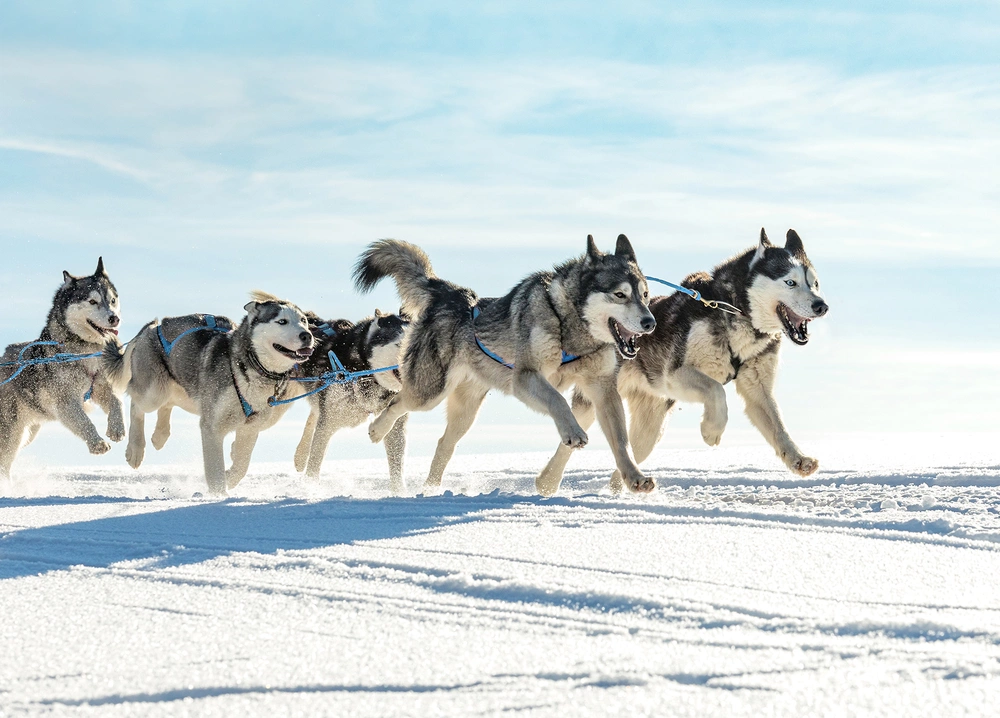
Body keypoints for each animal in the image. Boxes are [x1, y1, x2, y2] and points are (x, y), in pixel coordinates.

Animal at [0, 258, 125, 478]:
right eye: (92, 301)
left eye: (112, 300)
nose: (114, 318)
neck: (85, 352)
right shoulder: (65, 401)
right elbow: (83, 421)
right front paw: (97, 442)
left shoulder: (102, 387)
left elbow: (117, 402)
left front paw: (117, 428)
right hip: (11, 433)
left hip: (27, 433)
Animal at [105, 292, 312, 496]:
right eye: (282, 321)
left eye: (303, 321)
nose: (307, 336)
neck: (248, 368)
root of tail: (154, 325)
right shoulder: (212, 427)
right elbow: (215, 468)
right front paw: (219, 495)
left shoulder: (250, 428)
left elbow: (242, 465)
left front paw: (229, 478)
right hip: (154, 392)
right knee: (137, 406)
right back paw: (136, 450)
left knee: (168, 404)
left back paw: (160, 436)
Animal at [292, 310, 410, 496]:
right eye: (399, 344)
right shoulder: (329, 421)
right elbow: (316, 459)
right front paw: (311, 489)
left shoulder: (394, 423)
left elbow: (397, 463)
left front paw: (399, 494)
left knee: (313, 415)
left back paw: (300, 457)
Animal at [356, 236, 660, 496]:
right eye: (620, 295)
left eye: (645, 295)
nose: (650, 323)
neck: (569, 325)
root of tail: (452, 293)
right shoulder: (525, 378)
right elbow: (558, 400)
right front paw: (572, 432)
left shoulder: (603, 390)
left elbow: (622, 442)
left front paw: (635, 478)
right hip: (430, 392)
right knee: (397, 402)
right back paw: (377, 430)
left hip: (465, 413)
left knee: (444, 444)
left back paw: (431, 490)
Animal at [540, 229, 828, 496]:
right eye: (790, 282)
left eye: (814, 284)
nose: (821, 306)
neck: (734, 309)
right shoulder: (674, 375)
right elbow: (717, 390)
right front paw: (711, 429)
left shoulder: (756, 388)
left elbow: (778, 426)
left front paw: (798, 459)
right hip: (598, 398)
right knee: (568, 442)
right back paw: (546, 482)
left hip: (650, 430)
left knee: (628, 453)